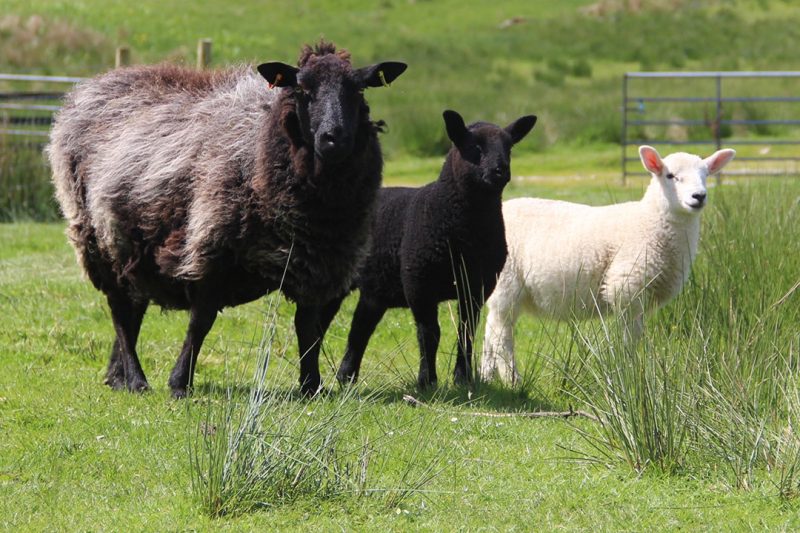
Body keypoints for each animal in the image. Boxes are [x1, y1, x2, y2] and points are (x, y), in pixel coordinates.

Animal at [47, 41, 406, 396]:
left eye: (358, 89)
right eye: (303, 89)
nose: (335, 138)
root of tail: (90, 88)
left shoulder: (320, 263)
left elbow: (308, 327)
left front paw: (310, 385)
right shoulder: (212, 247)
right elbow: (201, 322)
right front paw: (180, 383)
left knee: (133, 308)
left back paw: (117, 376)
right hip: (101, 239)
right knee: (121, 312)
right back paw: (136, 379)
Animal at [318, 110, 536, 388]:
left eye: (509, 148)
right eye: (474, 147)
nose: (500, 171)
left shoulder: (475, 288)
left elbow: (466, 332)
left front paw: (463, 378)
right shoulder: (419, 285)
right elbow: (429, 333)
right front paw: (427, 381)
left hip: (376, 289)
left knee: (360, 329)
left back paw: (346, 377)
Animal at [478, 145, 736, 382]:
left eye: (706, 174)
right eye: (670, 175)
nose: (699, 196)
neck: (649, 221)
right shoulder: (627, 287)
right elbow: (630, 338)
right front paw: (629, 372)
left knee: (490, 331)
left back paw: (486, 376)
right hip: (507, 281)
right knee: (501, 334)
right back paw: (512, 379)